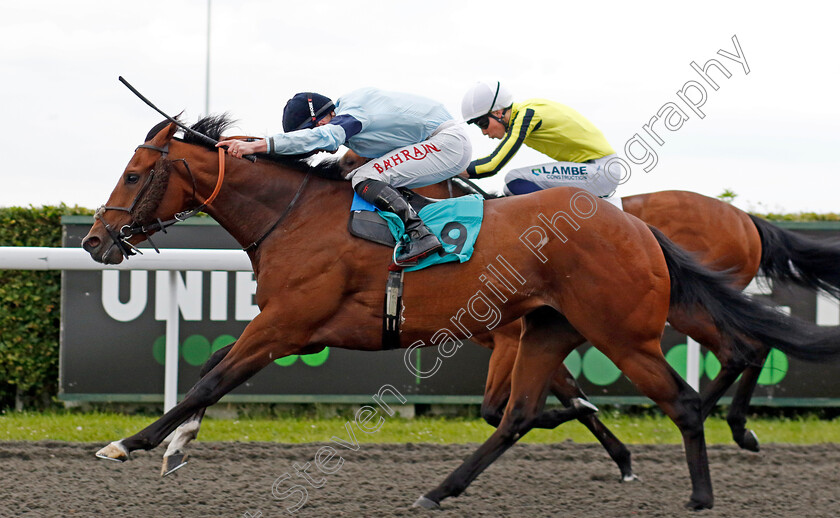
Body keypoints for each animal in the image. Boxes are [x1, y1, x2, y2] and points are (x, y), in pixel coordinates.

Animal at [85, 116, 840, 510]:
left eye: (133, 173)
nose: (95, 241)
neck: (295, 215)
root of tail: (638, 227)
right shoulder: (285, 326)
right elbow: (211, 370)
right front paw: (174, 448)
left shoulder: (289, 324)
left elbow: (212, 377)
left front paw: (133, 442)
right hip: (554, 328)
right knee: (519, 415)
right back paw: (440, 490)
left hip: (624, 332)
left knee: (692, 392)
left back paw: (703, 489)